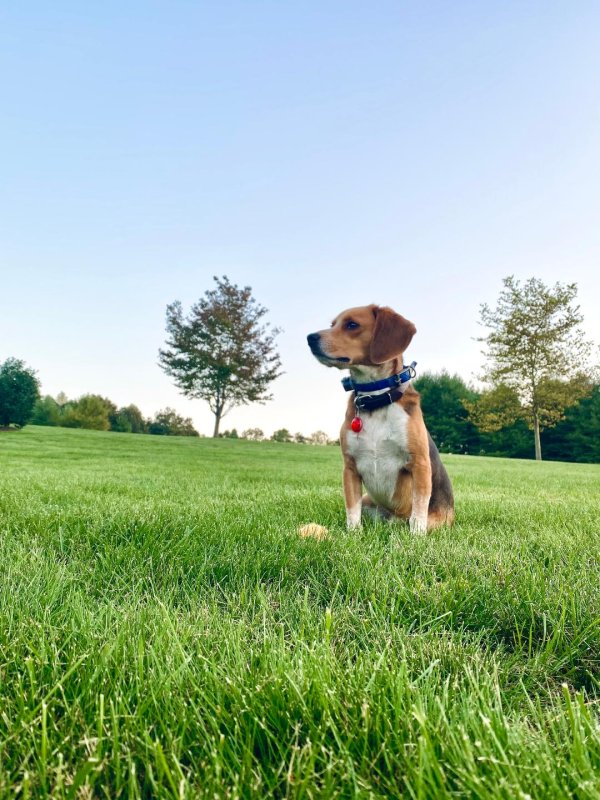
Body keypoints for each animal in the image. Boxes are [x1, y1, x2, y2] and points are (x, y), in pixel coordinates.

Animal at [307, 304, 454, 533]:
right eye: (333, 324)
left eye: (352, 325)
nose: (310, 338)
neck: (375, 399)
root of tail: (392, 519)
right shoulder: (350, 467)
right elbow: (352, 509)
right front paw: (353, 534)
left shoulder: (420, 463)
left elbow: (419, 510)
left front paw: (416, 536)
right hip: (369, 500)